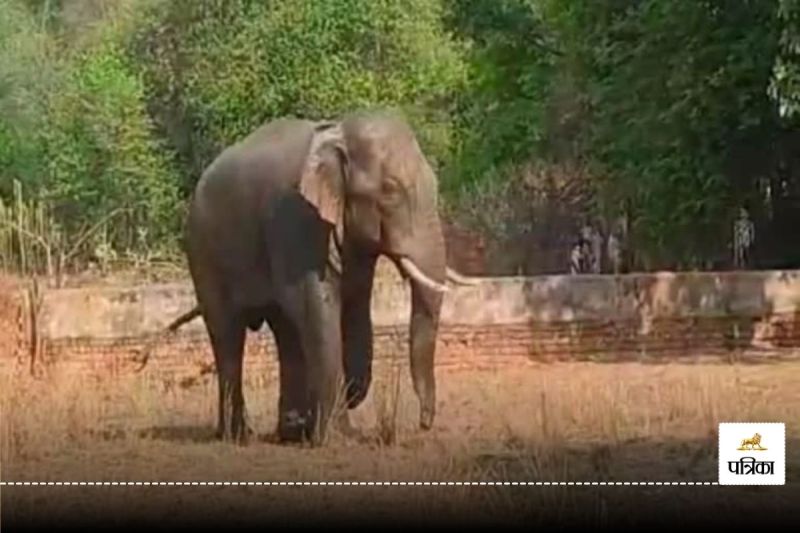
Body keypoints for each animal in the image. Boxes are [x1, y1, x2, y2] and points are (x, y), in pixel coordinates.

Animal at [174, 111, 477, 446]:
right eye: (390, 190)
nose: (424, 424)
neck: (338, 133)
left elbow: (354, 304)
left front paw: (334, 416)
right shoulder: (297, 219)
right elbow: (317, 306)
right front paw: (338, 437)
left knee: (285, 330)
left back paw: (291, 432)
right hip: (203, 252)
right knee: (228, 332)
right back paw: (237, 436)